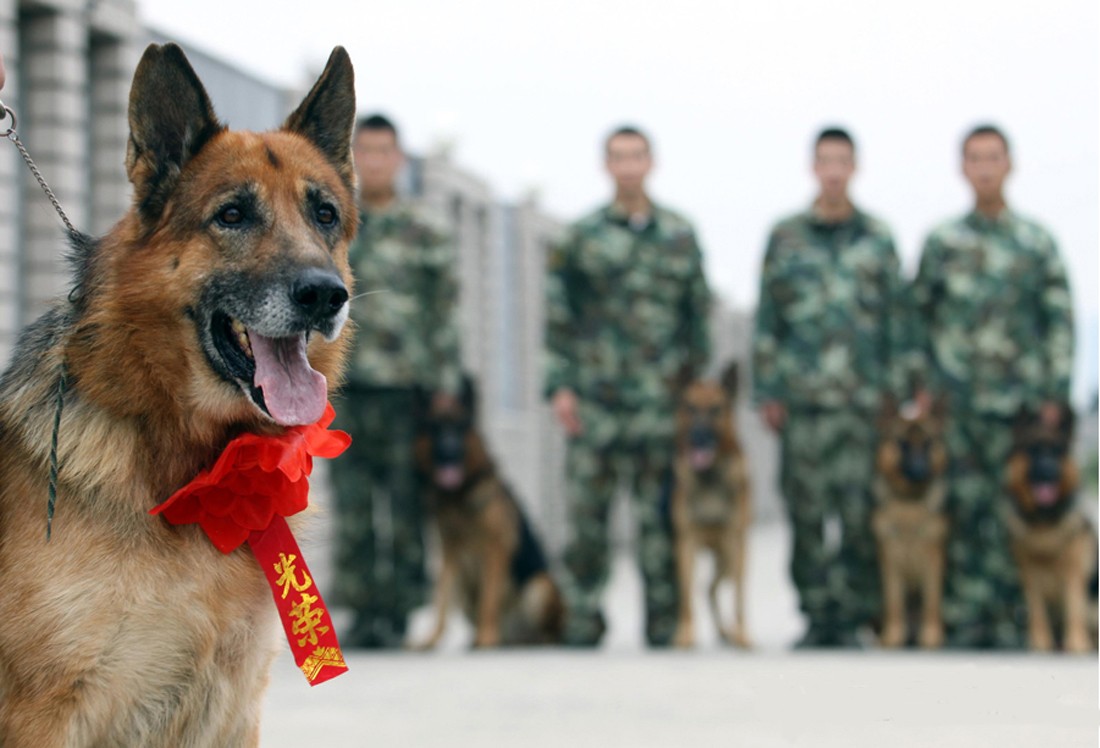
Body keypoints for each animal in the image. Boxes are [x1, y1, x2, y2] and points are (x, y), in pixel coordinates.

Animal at [413, 380, 567, 646]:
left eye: (460, 426)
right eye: (435, 428)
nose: (449, 451)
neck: (459, 496)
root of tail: (515, 638)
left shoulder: (496, 550)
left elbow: (489, 598)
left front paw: (486, 639)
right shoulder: (450, 552)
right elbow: (442, 598)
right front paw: (431, 640)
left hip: (541, 585)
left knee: (545, 633)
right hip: (467, 595)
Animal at [664, 363, 752, 646]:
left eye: (716, 409)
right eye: (690, 407)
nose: (698, 438)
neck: (709, 476)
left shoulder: (735, 541)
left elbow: (739, 598)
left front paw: (743, 635)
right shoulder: (685, 542)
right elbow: (685, 598)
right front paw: (685, 636)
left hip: (730, 558)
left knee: (715, 587)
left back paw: (729, 632)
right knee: (705, 588)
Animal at [871, 398, 950, 646]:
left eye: (927, 443)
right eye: (903, 444)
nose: (918, 472)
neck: (909, 504)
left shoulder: (933, 559)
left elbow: (931, 602)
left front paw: (931, 637)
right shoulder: (889, 559)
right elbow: (894, 602)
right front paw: (892, 637)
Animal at [1007, 407, 1091, 651]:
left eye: (1056, 451)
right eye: (1034, 451)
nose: (1048, 470)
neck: (1045, 521)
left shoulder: (1074, 569)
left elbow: (1074, 607)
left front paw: (1077, 644)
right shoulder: (1028, 570)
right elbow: (1037, 610)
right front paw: (1039, 643)